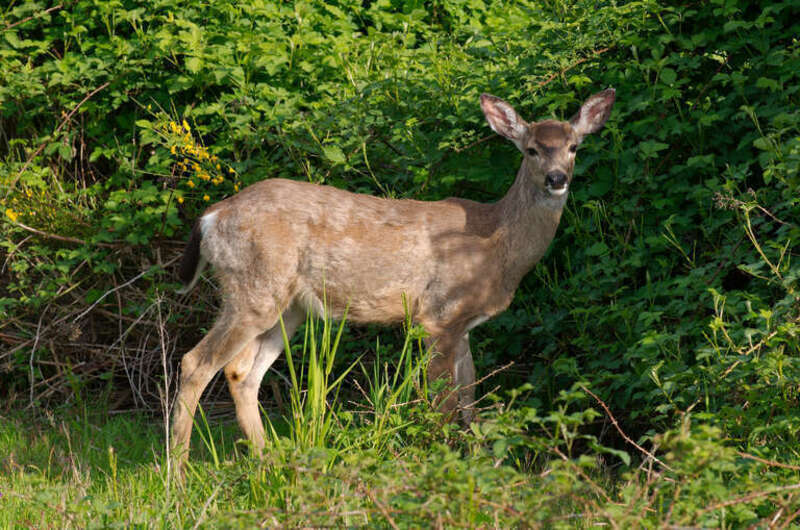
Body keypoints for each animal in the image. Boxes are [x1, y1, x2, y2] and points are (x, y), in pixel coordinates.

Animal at [171, 88, 616, 466]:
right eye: (532, 149)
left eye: (574, 147)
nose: (557, 179)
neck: (497, 243)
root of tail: (211, 217)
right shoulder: (437, 315)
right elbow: (443, 404)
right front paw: (443, 462)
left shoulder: (464, 325)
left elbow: (469, 399)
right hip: (253, 289)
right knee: (195, 363)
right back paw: (178, 472)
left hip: (288, 307)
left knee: (241, 372)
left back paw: (267, 462)